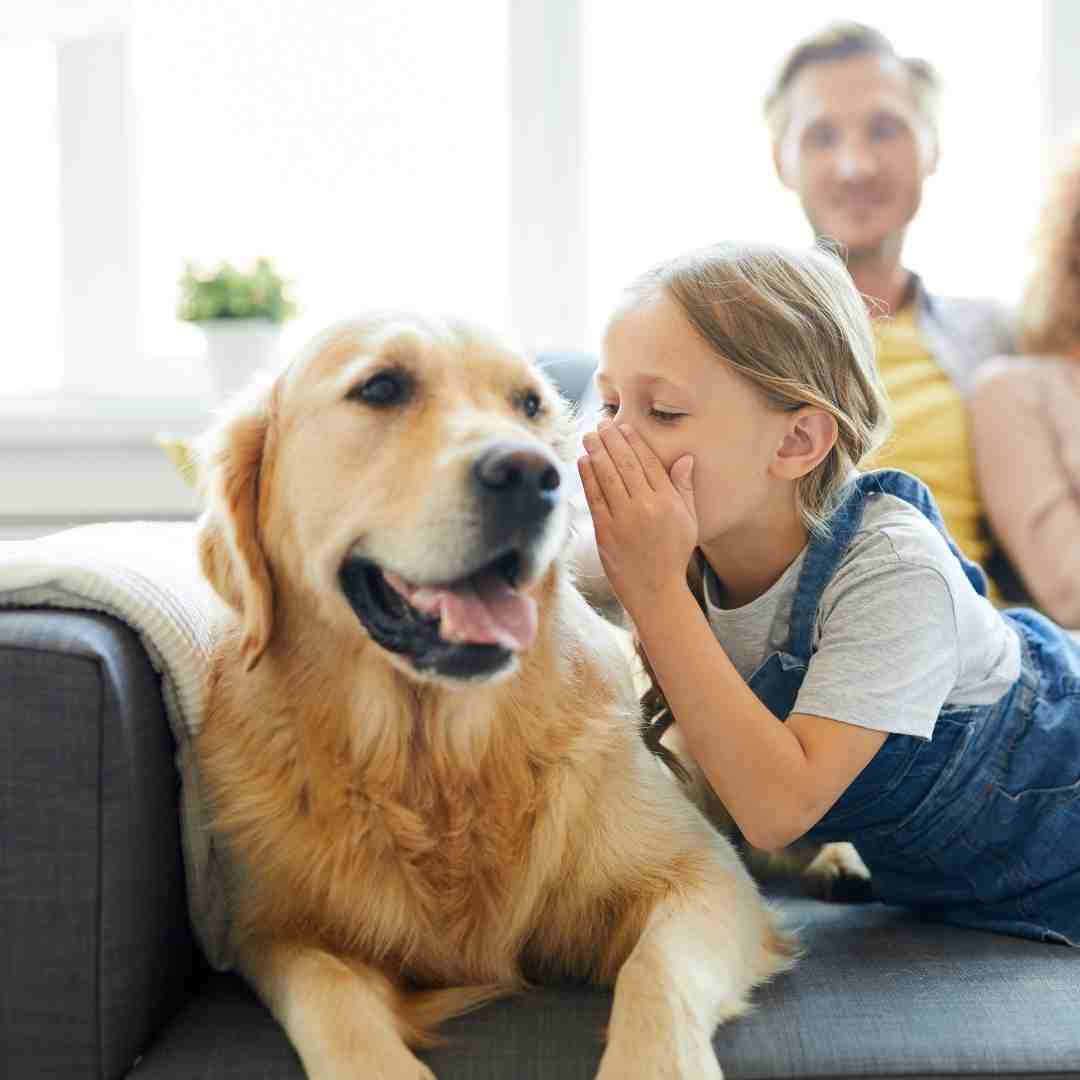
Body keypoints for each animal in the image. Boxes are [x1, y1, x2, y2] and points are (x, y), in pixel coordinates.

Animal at [194, 315, 799, 1080]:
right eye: (381, 387)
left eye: (530, 404)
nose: (531, 476)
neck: (438, 763)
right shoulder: (279, 932)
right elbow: (332, 1003)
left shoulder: (704, 874)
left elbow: (654, 972)